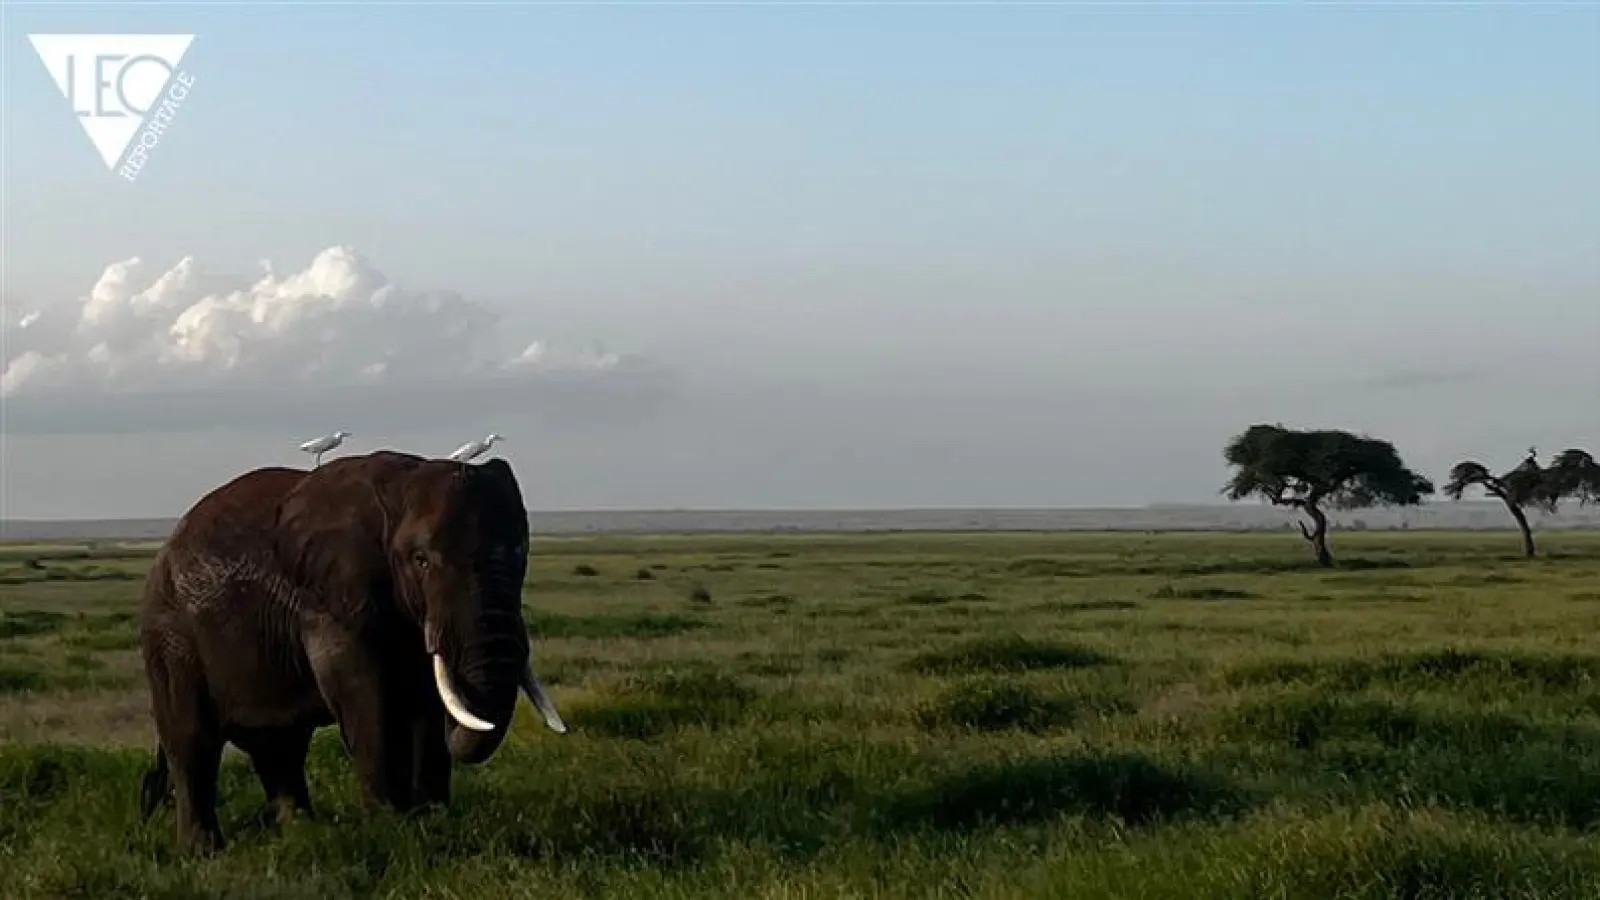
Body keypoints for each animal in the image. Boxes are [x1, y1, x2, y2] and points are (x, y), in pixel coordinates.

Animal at [136, 448, 569, 845]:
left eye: (521, 552)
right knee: (192, 743)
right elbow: (365, 695)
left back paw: (302, 834)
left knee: (281, 745)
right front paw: (390, 828)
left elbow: (426, 699)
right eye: (421, 560)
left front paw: (430, 821)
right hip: (169, 636)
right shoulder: (327, 597)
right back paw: (204, 853)